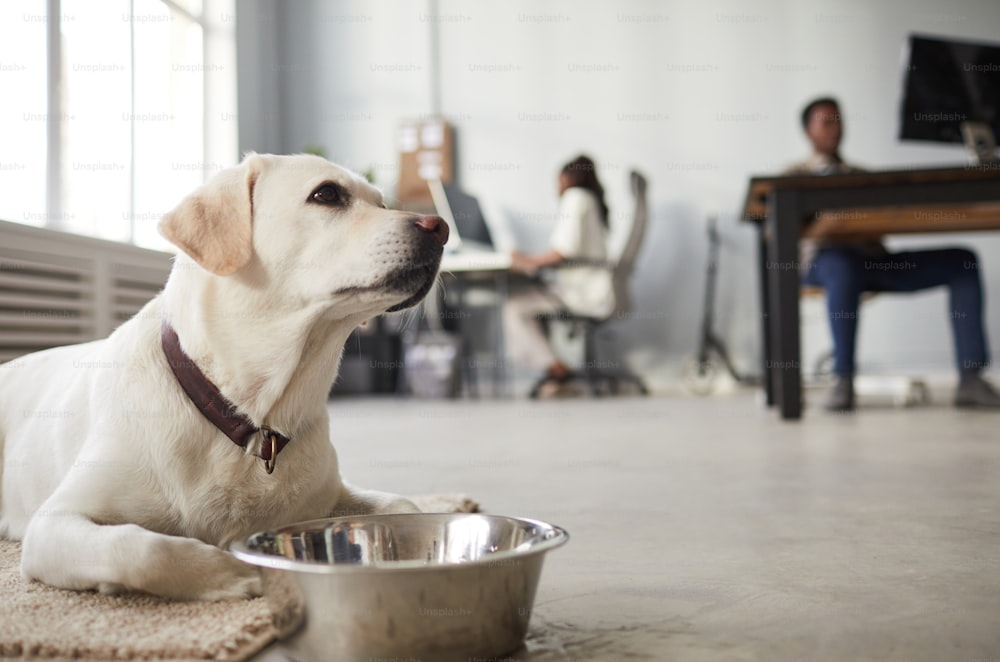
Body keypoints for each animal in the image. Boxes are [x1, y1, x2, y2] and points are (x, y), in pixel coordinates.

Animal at [0, 154, 450, 600]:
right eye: (327, 194)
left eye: (382, 203)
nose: (440, 227)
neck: (250, 419)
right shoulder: (54, 522)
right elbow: (141, 548)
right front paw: (233, 573)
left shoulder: (333, 492)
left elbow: (406, 508)